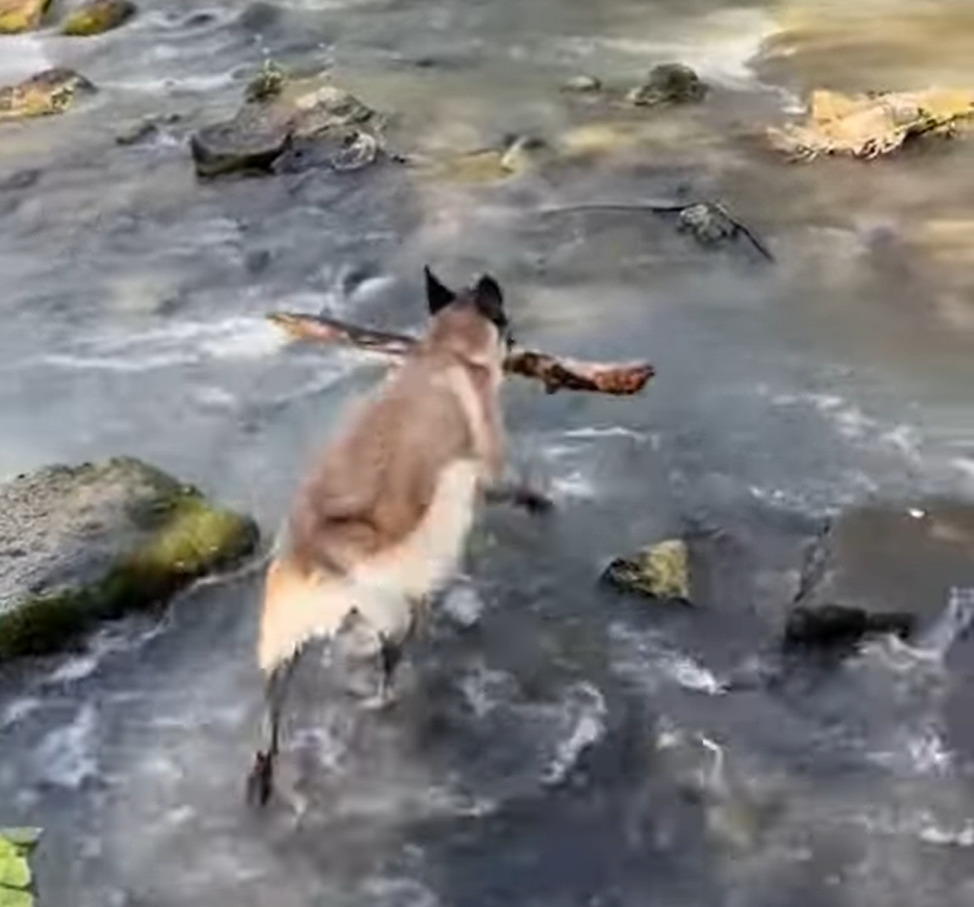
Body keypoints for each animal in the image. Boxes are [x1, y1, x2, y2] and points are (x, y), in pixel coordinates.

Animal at [244, 266, 548, 804]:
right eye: (506, 322)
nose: (519, 344)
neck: (445, 351)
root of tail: (312, 553)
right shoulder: (487, 470)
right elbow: (512, 487)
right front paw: (536, 501)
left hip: (282, 650)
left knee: (268, 724)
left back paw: (262, 776)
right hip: (391, 617)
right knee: (389, 671)